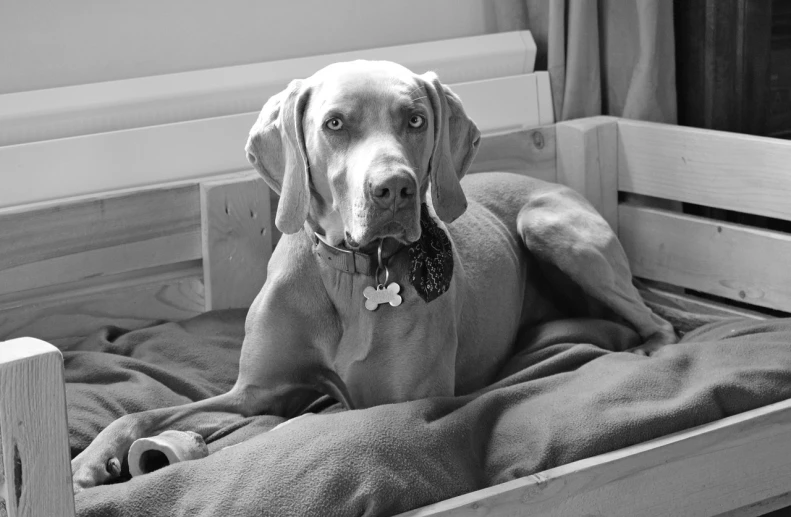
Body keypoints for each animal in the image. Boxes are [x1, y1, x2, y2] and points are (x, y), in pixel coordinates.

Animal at [72, 59, 676, 488]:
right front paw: (95, 457)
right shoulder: (254, 392)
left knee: (659, 320)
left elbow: (289, 427)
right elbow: (150, 414)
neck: (353, 273)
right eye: (334, 123)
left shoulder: (401, 406)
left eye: (416, 119)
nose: (394, 189)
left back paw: (647, 353)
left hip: (549, 225)